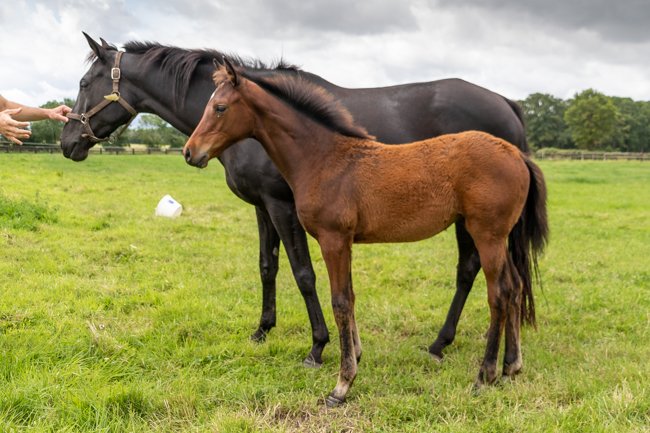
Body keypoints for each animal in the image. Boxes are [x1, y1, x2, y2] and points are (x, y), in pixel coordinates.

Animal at [184, 61, 548, 404]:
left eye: (220, 107)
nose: (190, 152)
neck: (324, 159)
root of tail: (518, 155)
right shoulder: (345, 241)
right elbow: (351, 297)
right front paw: (356, 356)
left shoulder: (333, 239)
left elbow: (340, 302)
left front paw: (342, 384)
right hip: (499, 237)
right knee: (516, 287)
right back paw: (511, 366)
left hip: (486, 235)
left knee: (499, 293)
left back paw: (485, 374)